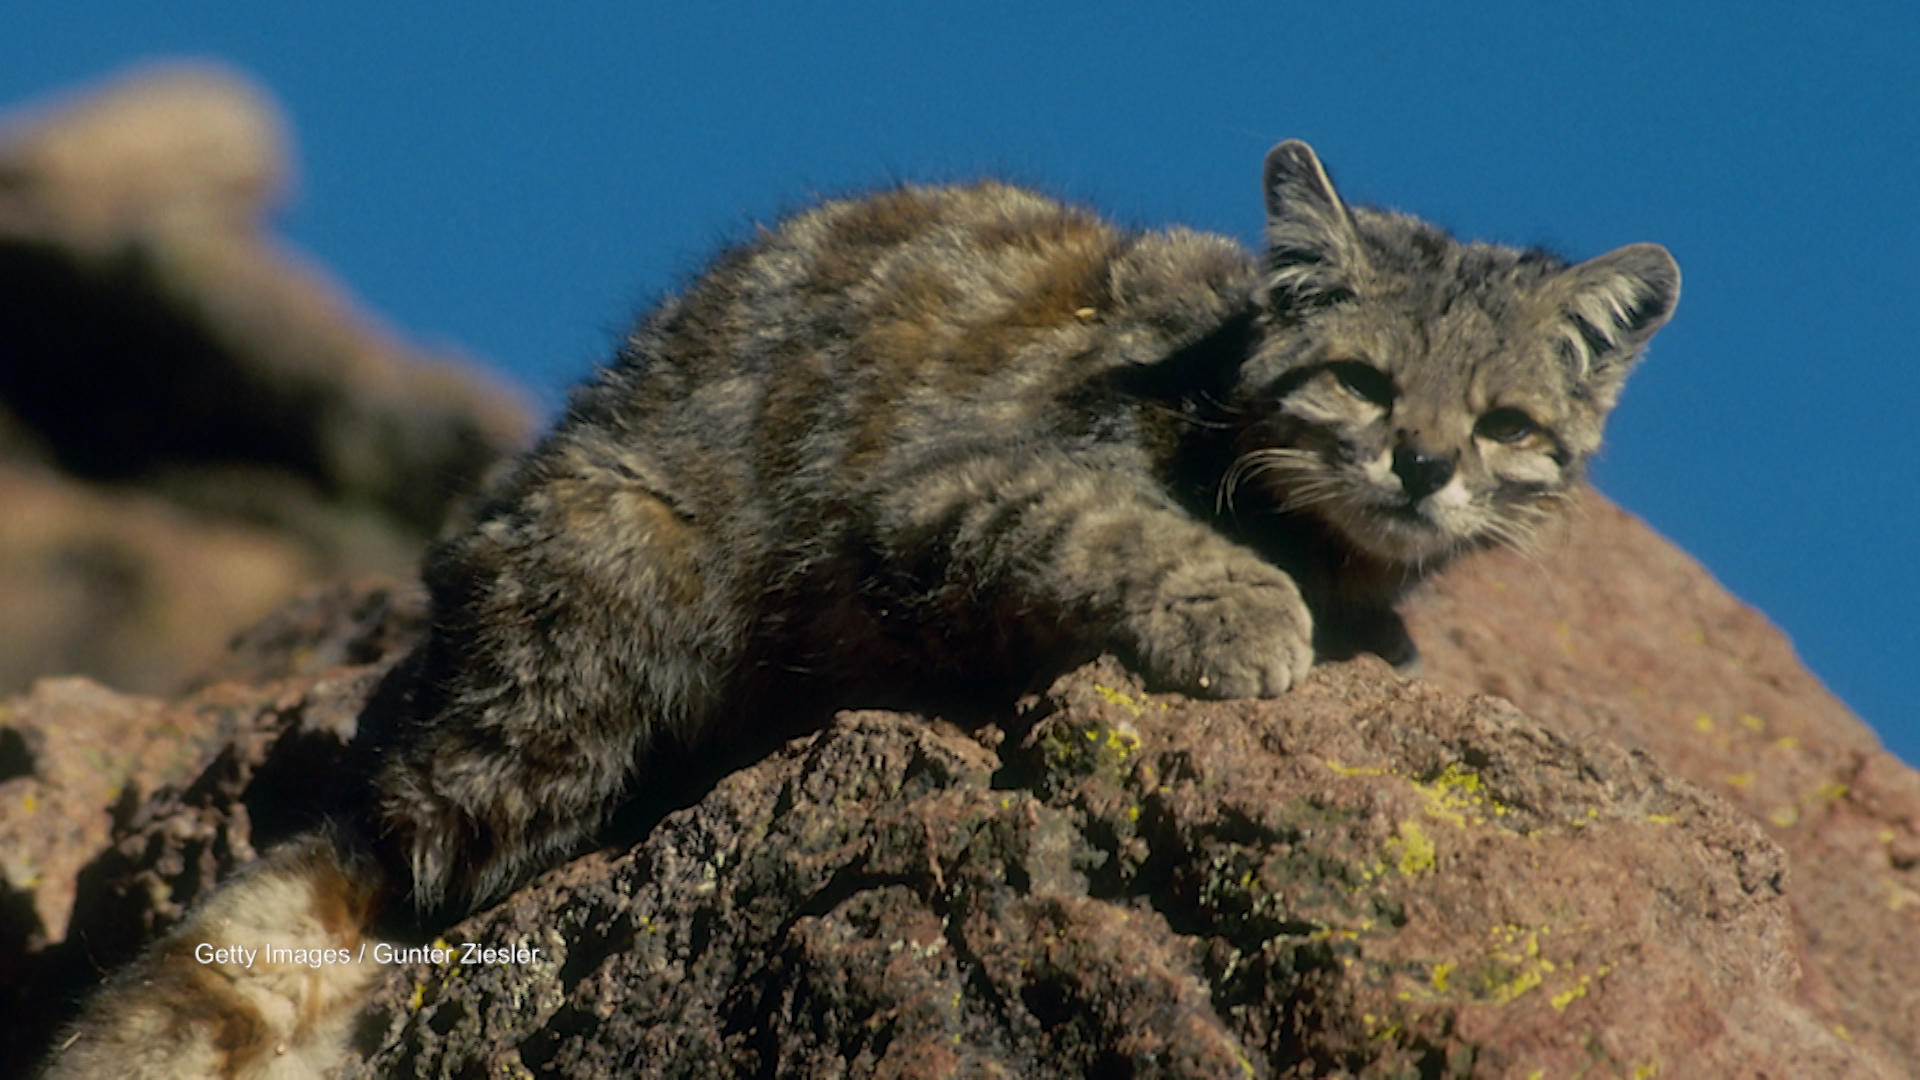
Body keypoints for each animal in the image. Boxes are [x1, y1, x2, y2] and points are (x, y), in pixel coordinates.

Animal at [37, 143, 1674, 1076]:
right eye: (1363, 382)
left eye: (1510, 422)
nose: (1427, 464)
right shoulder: (939, 497)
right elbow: (1117, 525)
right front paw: (1251, 611)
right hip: (594, 640)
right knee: (403, 857)